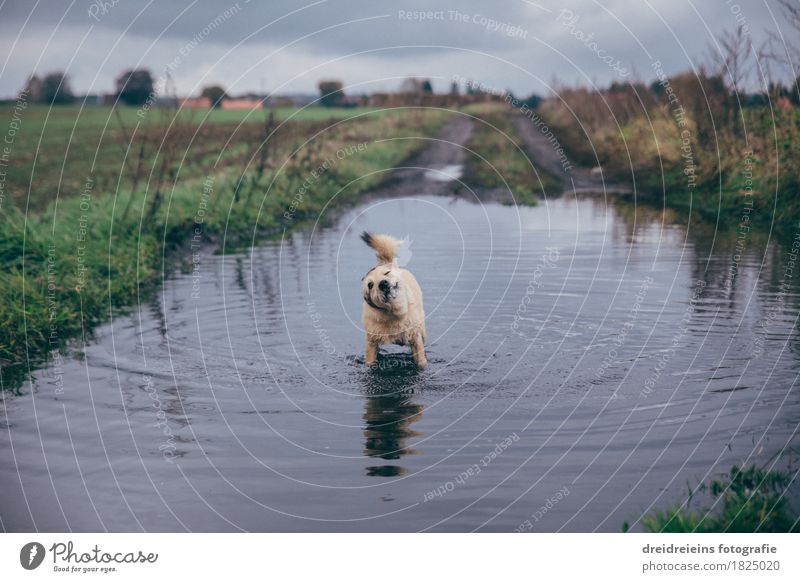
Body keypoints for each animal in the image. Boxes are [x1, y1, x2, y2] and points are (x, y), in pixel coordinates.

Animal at [360, 233, 424, 370]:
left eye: (387, 273)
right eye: (370, 285)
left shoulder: (415, 336)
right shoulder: (371, 341)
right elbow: (370, 361)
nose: (383, 283)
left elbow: (421, 360)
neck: (393, 314)